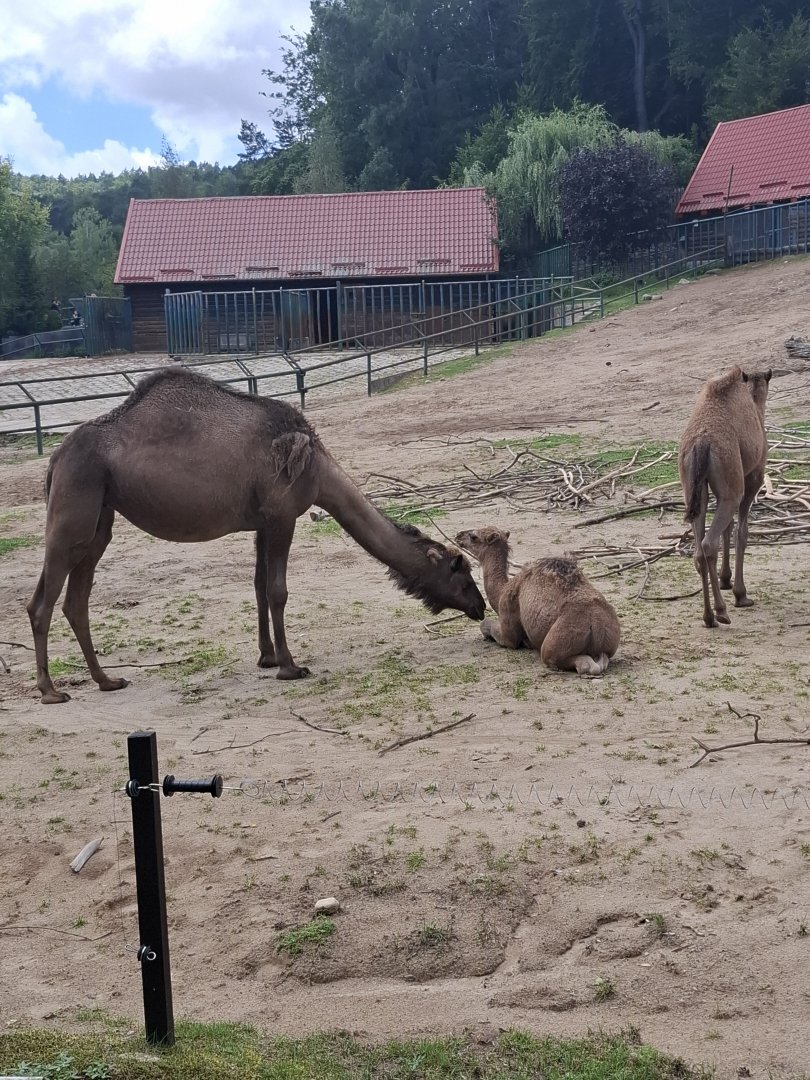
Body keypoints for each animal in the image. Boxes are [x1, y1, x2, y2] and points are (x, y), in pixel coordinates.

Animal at [28, 368, 485, 703]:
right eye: (461, 574)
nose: (481, 608)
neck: (318, 470)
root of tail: (54, 459)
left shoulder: (263, 521)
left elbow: (259, 585)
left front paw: (266, 657)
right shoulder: (283, 515)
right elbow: (278, 590)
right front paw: (290, 666)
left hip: (100, 516)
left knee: (76, 601)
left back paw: (107, 681)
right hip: (74, 504)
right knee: (42, 602)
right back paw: (51, 691)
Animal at [454, 527, 620, 676]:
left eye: (474, 536)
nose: (458, 535)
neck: (503, 589)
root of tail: (597, 623)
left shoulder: (507, 619)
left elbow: (488, 626)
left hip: (557, 641)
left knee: (576, 663)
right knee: (603, 657)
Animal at [678, 365, 771, 628]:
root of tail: (701, 444)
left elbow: (728, 529)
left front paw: (725, 579)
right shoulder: (754, 476)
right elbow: (742, 532)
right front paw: (741, 593)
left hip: (693, 488)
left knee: (699, 548)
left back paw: (709, 616)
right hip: (733, 487)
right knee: (708, 543)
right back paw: (722, 611)